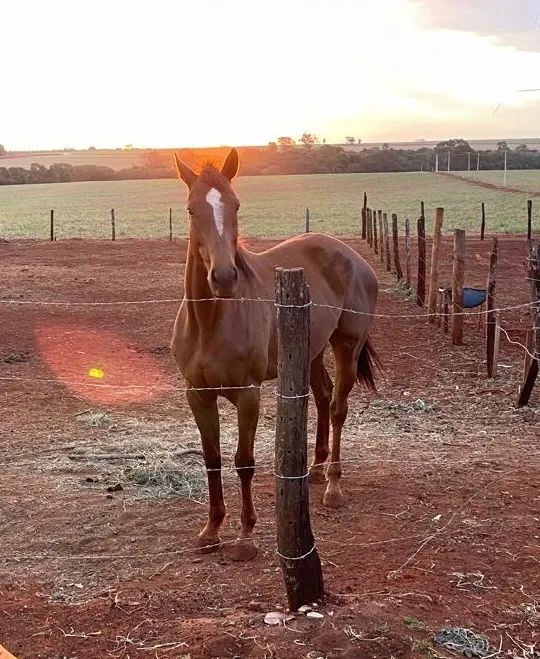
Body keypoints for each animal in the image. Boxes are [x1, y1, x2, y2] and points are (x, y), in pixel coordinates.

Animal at [171, 148, 378, 561]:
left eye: (235, 204)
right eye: (190, 209)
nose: (224, 277)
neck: (211, 320)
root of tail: (352, 257)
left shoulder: (248, 395)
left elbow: (243, 462)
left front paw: (245, 537)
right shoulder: (197, 395)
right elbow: (212, 460)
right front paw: (211, 529)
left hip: (347, 347)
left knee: (338, 408)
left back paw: (333, 486)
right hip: (311, 351)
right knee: (323, 396)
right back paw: (314, 469)